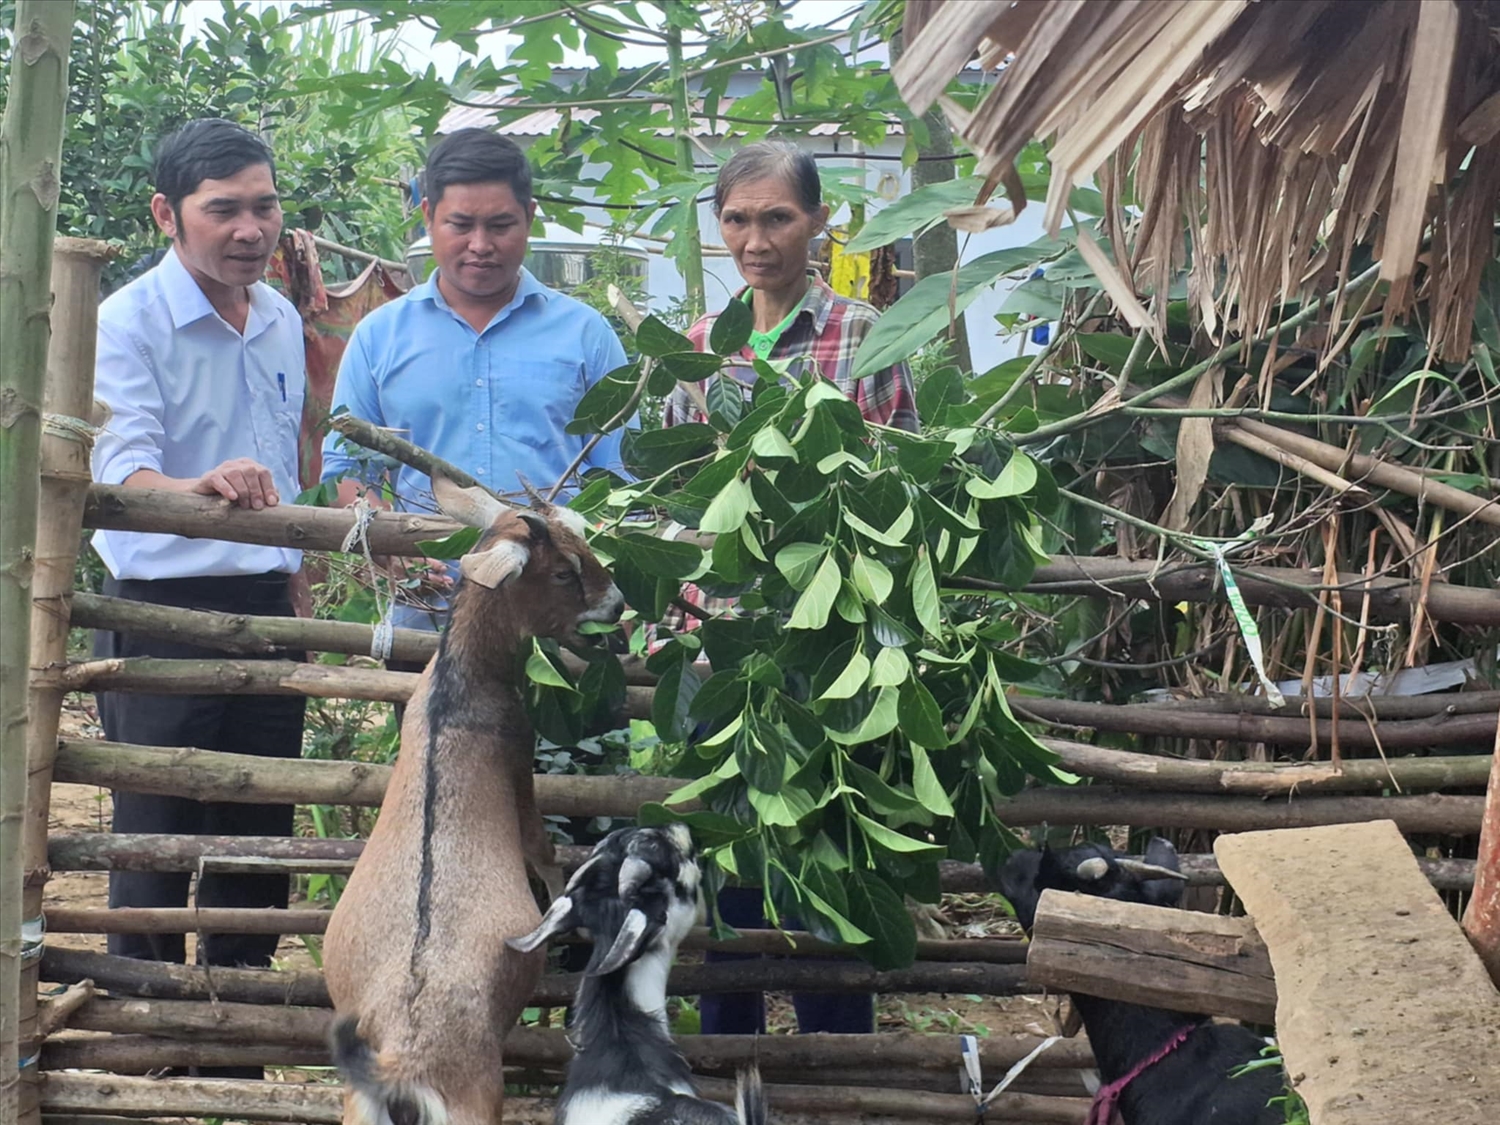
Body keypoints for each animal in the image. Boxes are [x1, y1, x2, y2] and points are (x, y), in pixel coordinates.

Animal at [325, 477, 624, 1125]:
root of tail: (404, 1063)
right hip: (477, 1096)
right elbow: (541, 849)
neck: (455, 691)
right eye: (563, 571)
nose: (617, 605)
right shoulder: (518, 759)